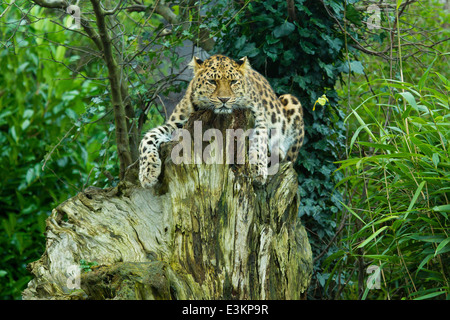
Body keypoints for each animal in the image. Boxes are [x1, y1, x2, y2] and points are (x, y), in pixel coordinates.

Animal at [139, 54, 304, 189]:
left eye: (233, 82)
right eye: (212, 81)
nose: (224, 99)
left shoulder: (260, 118)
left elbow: (260, 141)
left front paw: (258, 170)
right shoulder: (175, 124)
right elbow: (148, 138)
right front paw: (147, 173)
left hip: (291, 100)